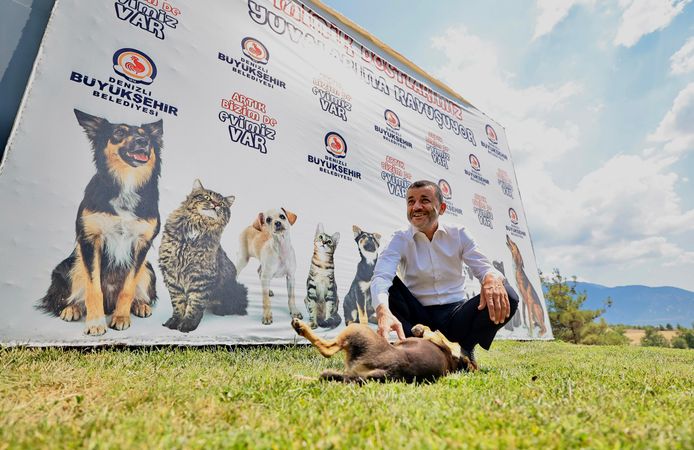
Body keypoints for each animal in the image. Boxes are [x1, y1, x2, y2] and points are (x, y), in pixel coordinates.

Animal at [38, 108, 163, 334]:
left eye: (147, 136)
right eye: (119, 132)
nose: (143, 141)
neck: (126, 183)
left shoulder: (141, 244)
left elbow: (128, 288)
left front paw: (121, 317)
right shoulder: (90, 240)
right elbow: (93, 288)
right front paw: (95, 323)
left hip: (148, 269)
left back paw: (140, 304)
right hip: (70, 265)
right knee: (74, 296)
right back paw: (72, 308)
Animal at [159, 178, 249, 332]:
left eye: (222, 204)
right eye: (207, 197)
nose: (215, 204)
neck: (197, 226)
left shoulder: (201, 276)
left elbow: (195, 305)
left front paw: (188, 324)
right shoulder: (172, 274)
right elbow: (178, 304)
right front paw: (175, 321)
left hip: (237, 290)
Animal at [290, 316, 478, 384]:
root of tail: (389, 370)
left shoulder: (444, 342)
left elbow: (439, 335)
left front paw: (420, 328)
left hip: (356, 328)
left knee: (327, 350)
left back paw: (301, 327)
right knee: (324, 377)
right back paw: (298, 377)